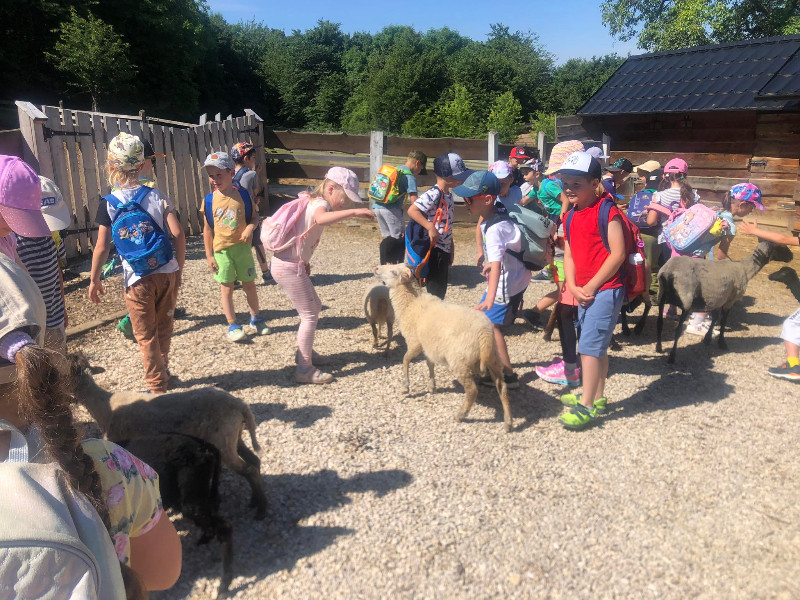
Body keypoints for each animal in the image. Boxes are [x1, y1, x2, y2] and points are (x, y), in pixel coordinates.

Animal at [68, 353, 268, 519]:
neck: (105, 407)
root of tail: (240, 405)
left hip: (223, 441)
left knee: (249, 469)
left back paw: (261, 510)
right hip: (234, 437)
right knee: (254, 461)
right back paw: (256, 501)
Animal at [119, 434, 234, 598]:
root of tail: (208, 449)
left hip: (191, 501)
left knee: (225, 528)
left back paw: (224, 585)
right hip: (200, 496)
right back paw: (205, 538)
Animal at [374, 264, 512, 432]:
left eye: (394, 272)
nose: (376, 268)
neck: (410, 304)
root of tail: (484, 334)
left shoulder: (415, 342)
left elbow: (405, 360)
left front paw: (405, 387)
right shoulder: (429, 346)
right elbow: (430, 364)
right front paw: (431, 386)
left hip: (460, 361)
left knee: (472, 390)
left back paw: (460, 415)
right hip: (493, 358)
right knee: (502, 387)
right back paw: (508, 422)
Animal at [656, 240, 793, 363]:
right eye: (780, 246)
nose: (791, 256)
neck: (745, 269)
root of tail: (668, 272)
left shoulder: (717, 299)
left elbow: (715, 317)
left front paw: (707, 339)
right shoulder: (730, 301)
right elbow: (723, 322)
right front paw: (722, 342)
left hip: (661, 296)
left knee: (660, 322)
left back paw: (659, 348)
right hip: (686, 300)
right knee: (678, 330)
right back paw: (672, 357)